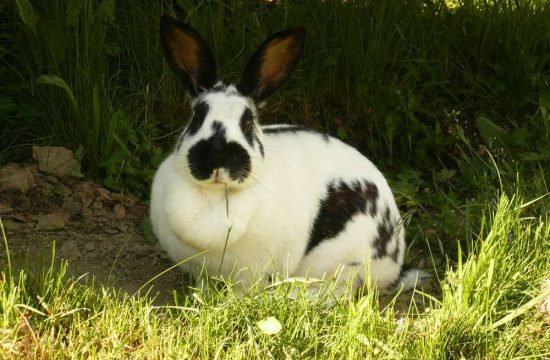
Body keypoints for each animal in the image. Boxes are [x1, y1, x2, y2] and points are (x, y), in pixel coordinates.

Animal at [149, 14, 424, 296]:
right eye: (196, 117)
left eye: (247, 123)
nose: (217, 158)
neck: (217, 195)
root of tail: (397, 262)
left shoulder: (253, 273)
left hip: (344, 261)